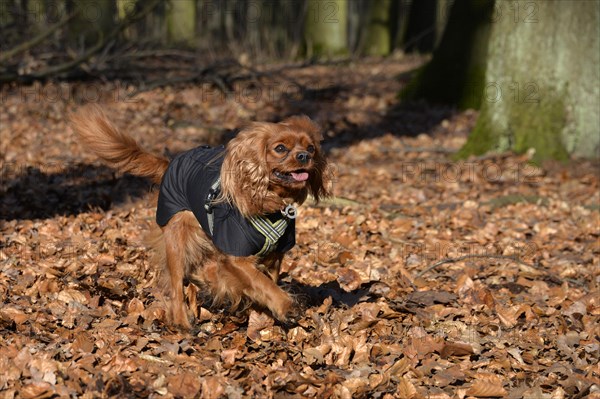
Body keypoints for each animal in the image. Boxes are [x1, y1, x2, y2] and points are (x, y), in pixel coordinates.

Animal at [72, 104, 330, 330]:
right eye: (280, 148)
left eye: (311, 148)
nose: (304, 156)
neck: (270, 203)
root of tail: (172, 163)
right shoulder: (236, 256)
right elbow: (262, 282)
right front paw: (286, 306)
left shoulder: (276, 255)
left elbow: (268, 281)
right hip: (177, 240)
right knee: (177, 287)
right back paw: (183, 323)